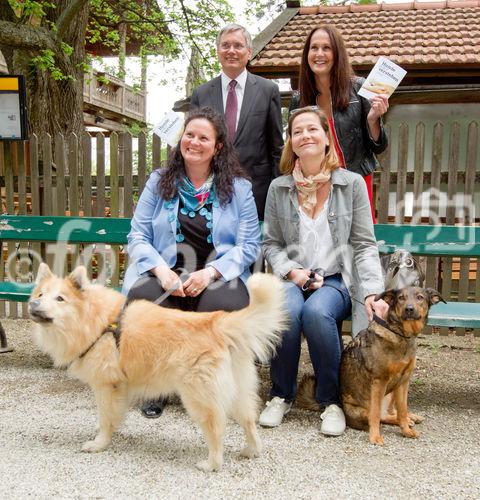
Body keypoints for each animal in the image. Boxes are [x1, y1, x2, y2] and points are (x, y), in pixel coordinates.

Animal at [30, 264, 286, 470]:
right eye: (41, 294)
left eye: (60, 299)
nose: (33, 303)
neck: (98, 321)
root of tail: (216, 323)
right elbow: (114, 416)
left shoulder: (106, 386)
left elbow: (105, 418)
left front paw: (99, 443)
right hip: (237, 389)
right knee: (248, 420)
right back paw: (251, 450)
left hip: (200, 396)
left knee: (216, 430)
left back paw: (212, 464)